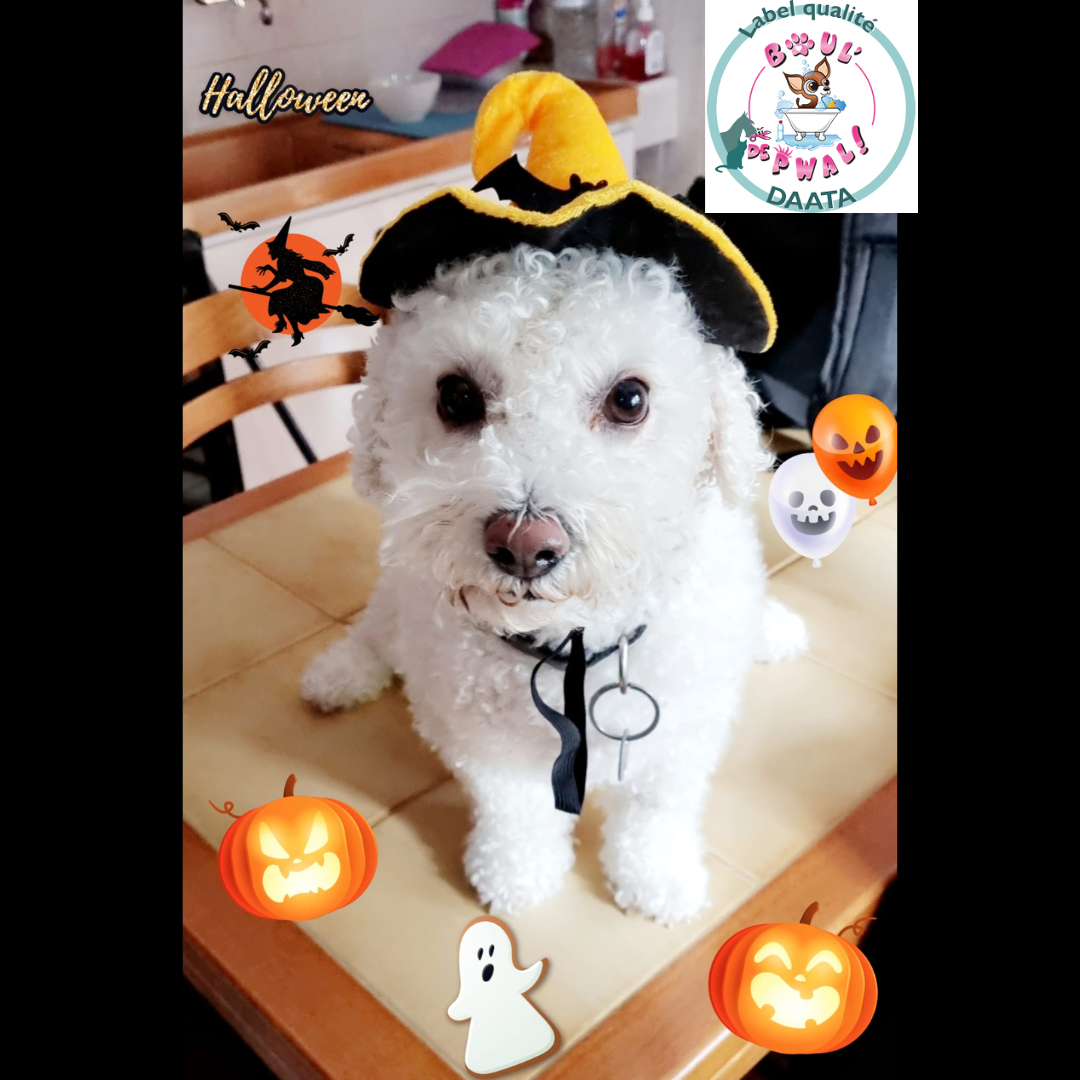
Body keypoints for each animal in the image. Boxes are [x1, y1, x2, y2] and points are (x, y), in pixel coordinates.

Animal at [302, 244, 808, 924]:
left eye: (629, 398)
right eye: (457, 396)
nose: (523, 545)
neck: (570, 643)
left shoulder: (685, 729)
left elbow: (657, 810)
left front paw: (658, 876)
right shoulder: (479, 734)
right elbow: (513, 809)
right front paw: (517, 872)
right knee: (377, 629)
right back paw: (340, 674)